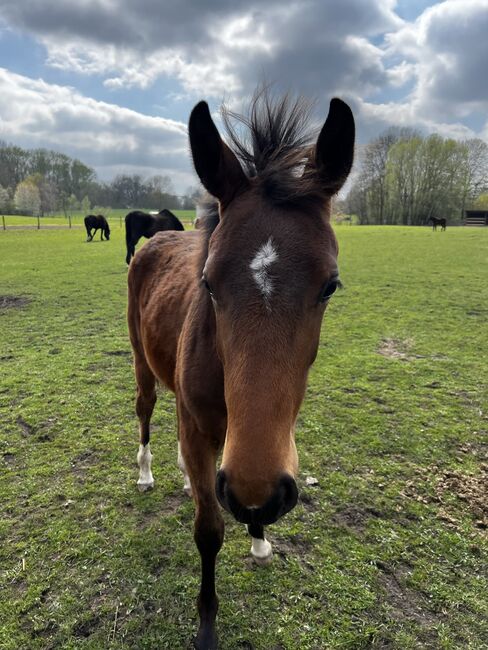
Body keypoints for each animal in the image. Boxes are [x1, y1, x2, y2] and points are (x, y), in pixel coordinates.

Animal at [126, 91, 354, 648]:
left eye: (330, 285)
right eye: (208, 282)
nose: (256, 495)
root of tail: (156, 239)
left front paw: (259, 537)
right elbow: (209, 531)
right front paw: (207, 626)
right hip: (143, 365)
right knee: (145, 410)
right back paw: (146, 472)